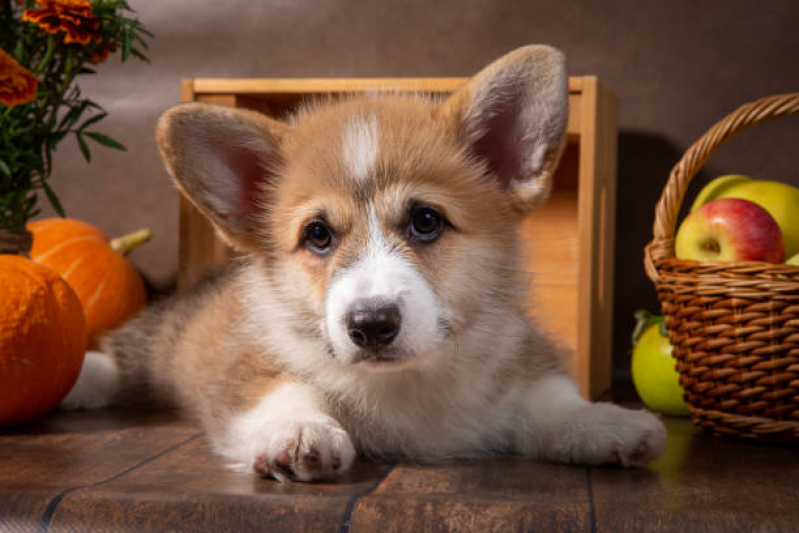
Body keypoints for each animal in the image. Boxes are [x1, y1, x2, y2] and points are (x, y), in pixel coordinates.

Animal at [64, 46, 668, 482]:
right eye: (318, 235)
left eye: (426, 221)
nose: (371, 325)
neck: (405, 381)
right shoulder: (244, 366)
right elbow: (280, 390)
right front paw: (299, 432)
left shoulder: (517, 361)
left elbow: (550, 398)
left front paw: (602, 420)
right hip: (162, 336)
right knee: (127, 355)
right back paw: (78, 381)